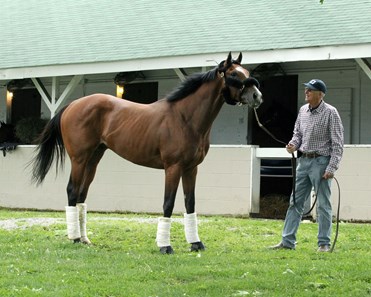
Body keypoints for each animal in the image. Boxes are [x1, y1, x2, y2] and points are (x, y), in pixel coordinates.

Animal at [32, 52, 264, 253]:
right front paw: (165, 246)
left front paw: (196, 243)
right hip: (79, 159)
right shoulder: (173, 167)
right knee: (72, 191)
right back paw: (74, 237)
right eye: (233, 74)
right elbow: (168, 203)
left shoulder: (191, 168)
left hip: (93, 159)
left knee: (81, 194)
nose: (257, 96)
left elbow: (190, 202)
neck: (185, 117)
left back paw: (84, 239)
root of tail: (72, 105)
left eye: (246, 70)